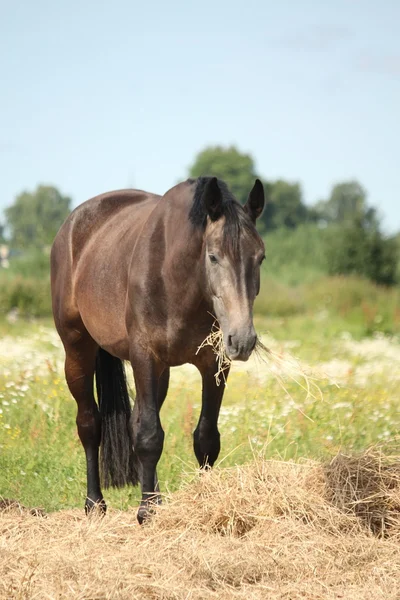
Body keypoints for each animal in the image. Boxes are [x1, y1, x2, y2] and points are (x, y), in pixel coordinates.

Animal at [51, 176, 266, 524]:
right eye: (213, 256)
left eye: (260, 257)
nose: (243, 339)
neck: (176, 276)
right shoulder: (145, 357)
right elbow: (150, 436)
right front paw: (146, 511)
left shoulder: (214, 363)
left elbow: (206, 437)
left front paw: (197, 501)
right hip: (78, 349)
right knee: (90, 425)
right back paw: (95, 504)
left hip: (160, 371)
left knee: (136, 422)